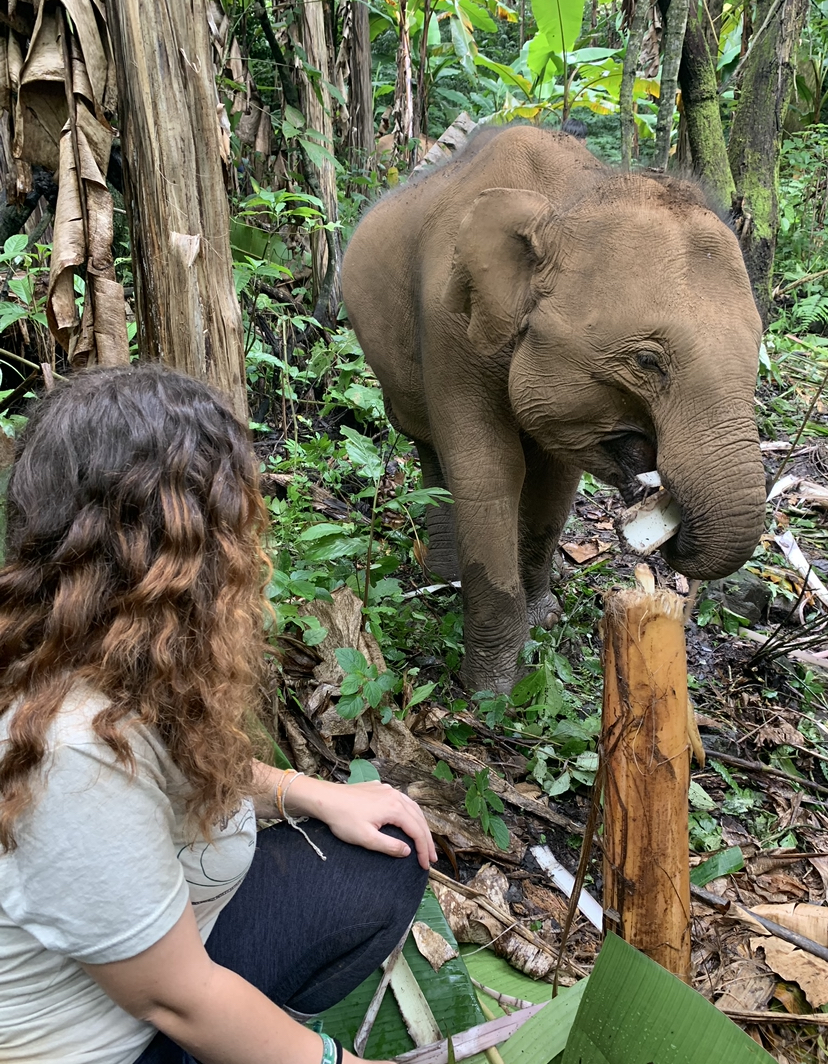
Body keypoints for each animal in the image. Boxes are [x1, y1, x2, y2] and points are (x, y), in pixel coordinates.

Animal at [338, 124, 766, 693]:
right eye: (647, 360)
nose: (670, 539)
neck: (563, 201)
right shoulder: (448, 324)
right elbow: (490, 471)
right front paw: (494, 691)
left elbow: (555, 481)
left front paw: (545, 618)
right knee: (428, 444)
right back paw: (445, 578)